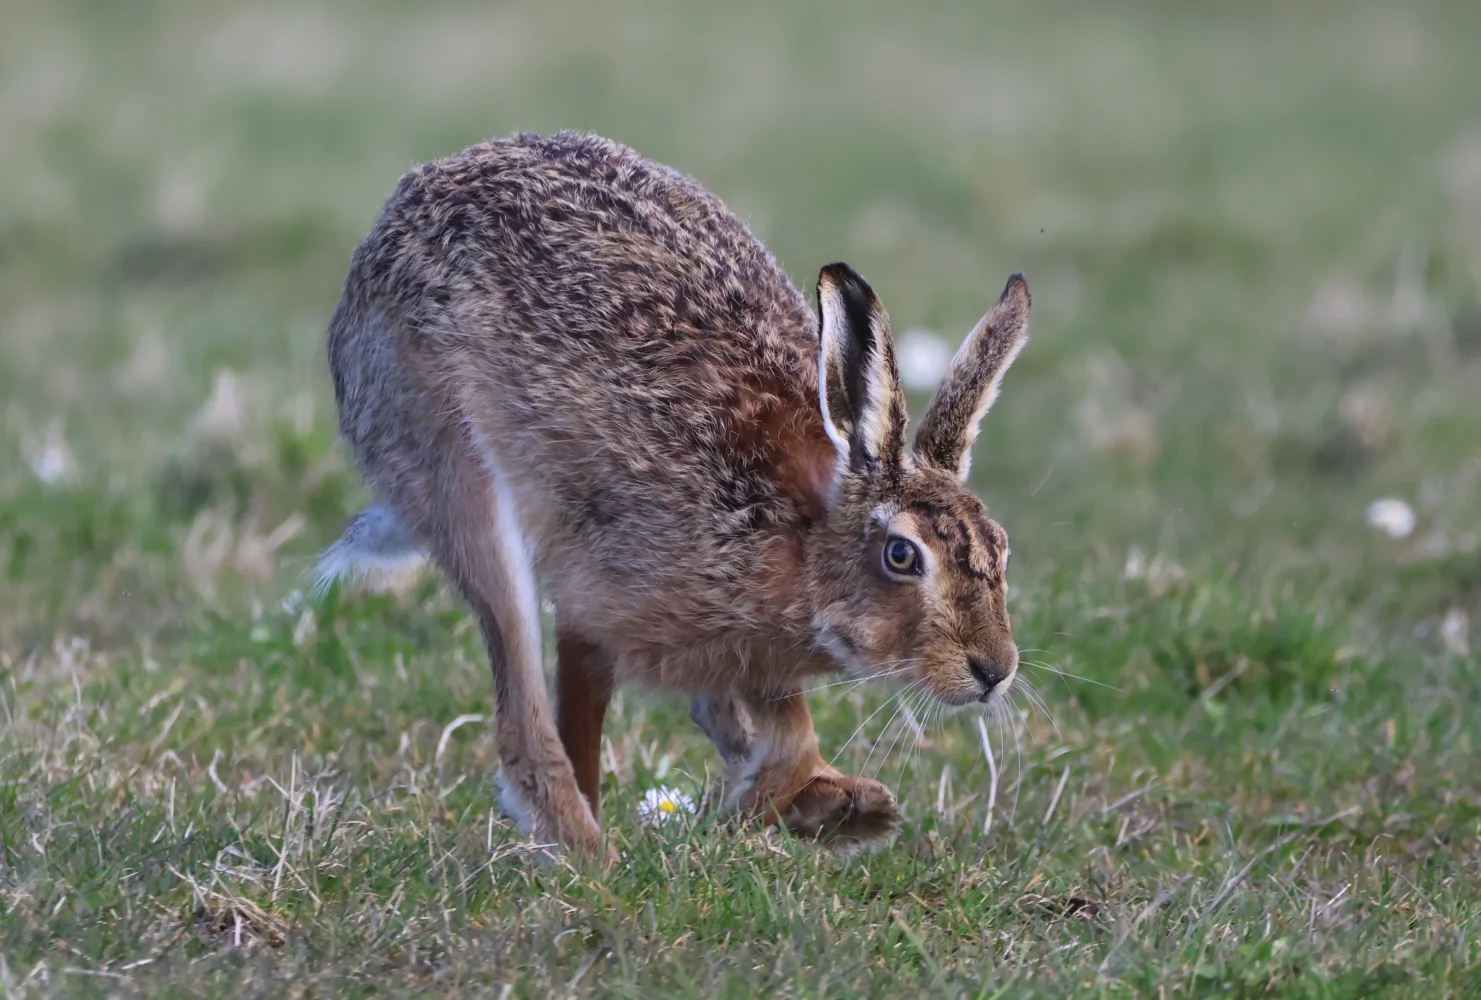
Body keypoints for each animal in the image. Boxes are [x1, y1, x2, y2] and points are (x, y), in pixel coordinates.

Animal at [318, 131, 1030, 855]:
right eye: (901, 556)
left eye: (1000, 548)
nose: (993, 670)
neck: (800, 536)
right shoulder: (596, 597)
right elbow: (587, 710)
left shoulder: (753, 656)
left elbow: (785, 732)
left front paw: (801, 805)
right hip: (455, 472)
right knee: (520, 703)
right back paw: (587, 850)